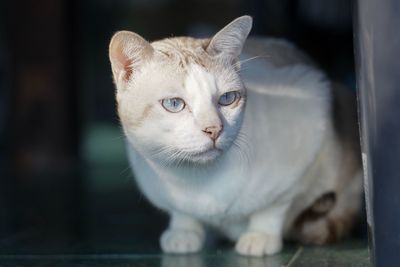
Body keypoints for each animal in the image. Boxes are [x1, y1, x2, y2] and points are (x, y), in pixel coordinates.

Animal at [108, 15, 362, 258]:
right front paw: (185, 232)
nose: (214, 129)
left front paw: (260, 236)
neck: (197, 180)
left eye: (227, 99)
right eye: (174, 104)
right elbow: (183, 214)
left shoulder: (311, 128)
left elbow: (273, 207)